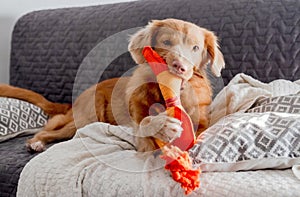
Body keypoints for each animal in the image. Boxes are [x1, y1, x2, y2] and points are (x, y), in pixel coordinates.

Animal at [0, 18, 224, 152]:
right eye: (166, 42)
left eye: (195, 48)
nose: (180, 67)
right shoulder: (137, 120)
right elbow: (145, 124)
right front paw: (162, 126)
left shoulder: (203, 122)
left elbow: (199, 131)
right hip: (87, 117)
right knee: (48, 132)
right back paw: (36, 142)